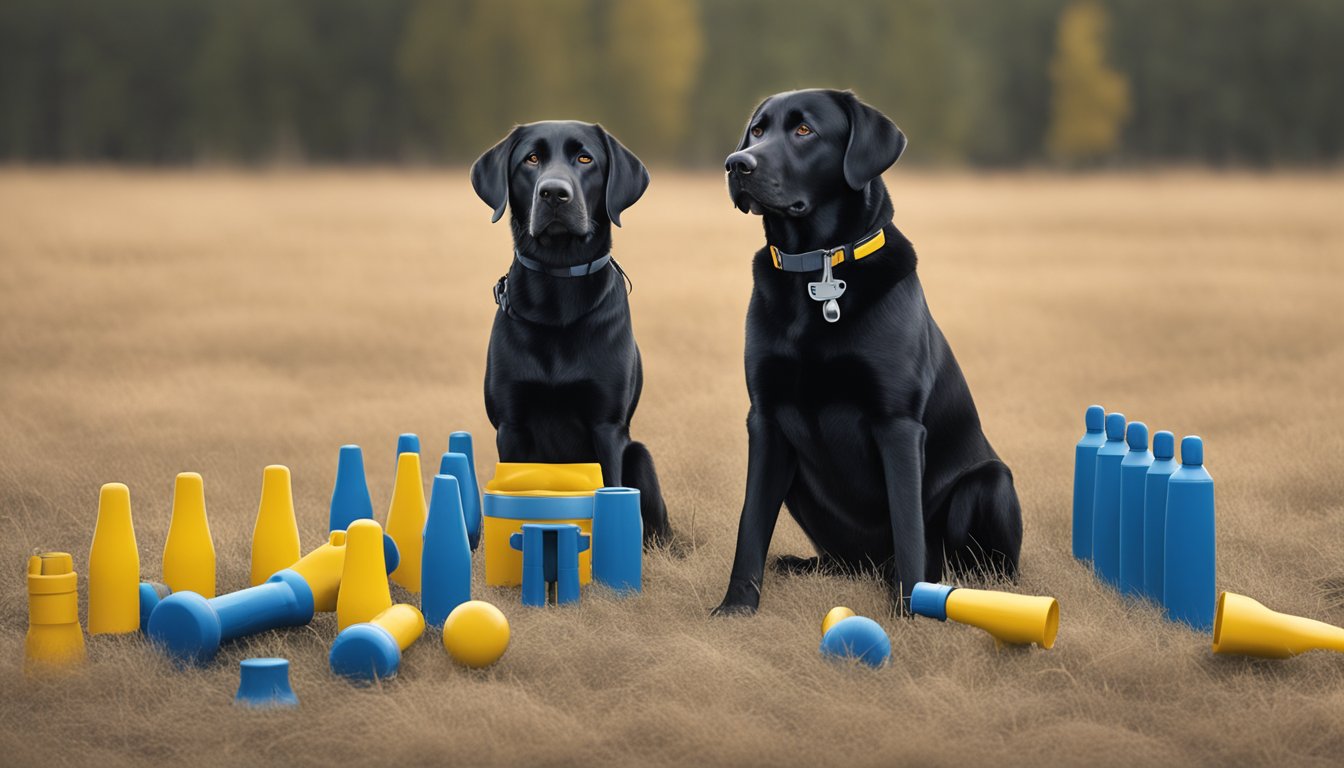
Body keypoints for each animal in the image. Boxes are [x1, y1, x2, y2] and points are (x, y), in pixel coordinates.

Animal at [470, 120, 672, 543]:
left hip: (640, 455)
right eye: (531, 159)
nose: (554, 193)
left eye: (585, 159)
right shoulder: (510, 426)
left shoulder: (607, 427)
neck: (557, 296)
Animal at [715, 91, 1016, 618]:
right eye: (757, 130)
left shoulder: (896, 423)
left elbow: (908, 525)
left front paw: (911, 613)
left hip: (990, 483)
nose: (737, 164)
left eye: (805, 131)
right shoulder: (766, 420)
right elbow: (750, 524)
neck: (816, 268)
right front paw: (735, 608)